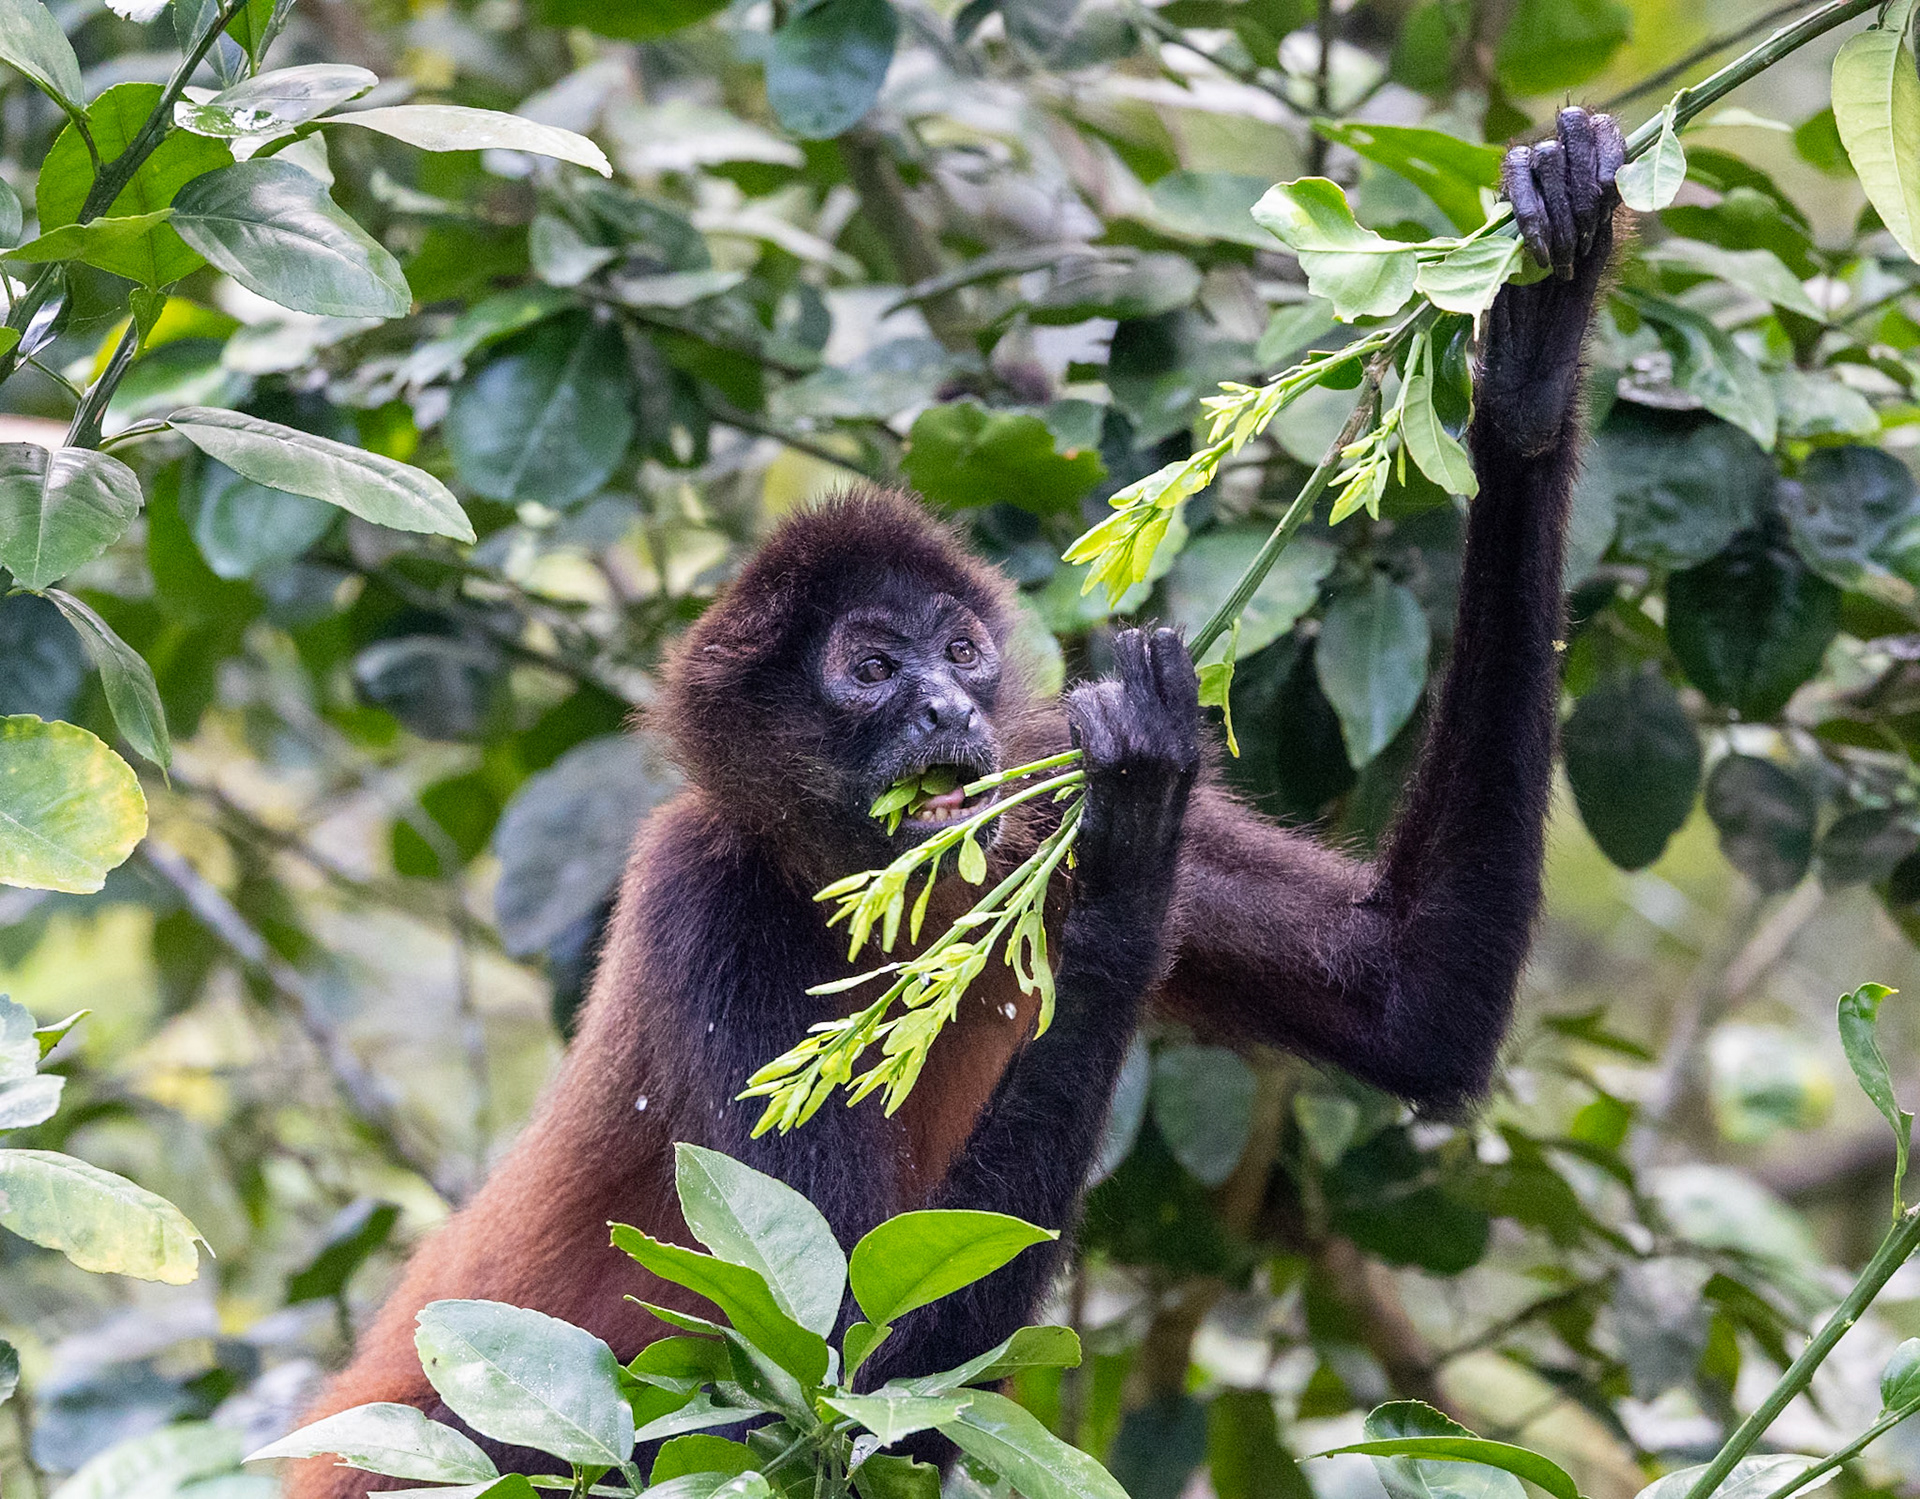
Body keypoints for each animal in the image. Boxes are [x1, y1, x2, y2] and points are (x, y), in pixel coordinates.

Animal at [285, 107, 1622, 1496]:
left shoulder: (1032, 775)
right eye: (874, 668)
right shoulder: (711, 892)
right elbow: (829, 1364)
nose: (939, 708)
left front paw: (1530, 358)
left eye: (961, 652)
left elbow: (1416, 995)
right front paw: (1128, 857)